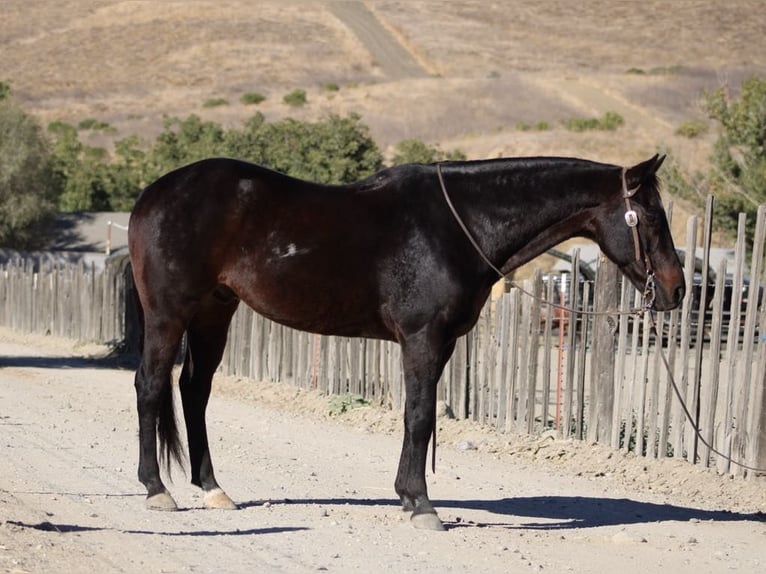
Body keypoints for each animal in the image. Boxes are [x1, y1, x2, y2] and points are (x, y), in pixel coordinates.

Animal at [127, 153, 685, 531]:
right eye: (651, 217)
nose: (677, 289)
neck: (460, 225)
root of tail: (153, 195)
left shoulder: (439, 344)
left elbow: (421, 417)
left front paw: (407, 497)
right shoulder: (423, 340)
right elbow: (418, 418)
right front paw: (421, 505)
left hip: (214, 312)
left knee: (194, 390)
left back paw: (212, 489)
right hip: (169, 315)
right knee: (151, 386)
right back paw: (156, 490)